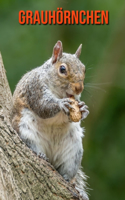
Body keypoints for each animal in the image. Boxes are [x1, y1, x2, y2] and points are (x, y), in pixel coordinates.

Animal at [11, 40, 89, 200]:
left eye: (84, 69)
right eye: (62, 69)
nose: (79, 88)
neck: (60, 93)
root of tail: (51, 155)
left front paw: (83, 110)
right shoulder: (35, 89)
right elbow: (43, 107)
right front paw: (61, 104)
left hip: (74, 150)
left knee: (67, 169)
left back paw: (67, 178)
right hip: (25, 129)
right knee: (31, 143)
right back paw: (39, 153)